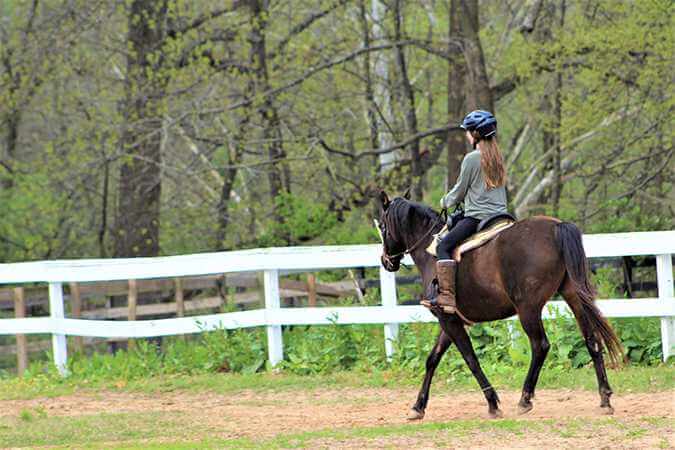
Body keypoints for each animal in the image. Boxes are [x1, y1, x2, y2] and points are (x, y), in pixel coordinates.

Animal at [378, 189, 620, 418]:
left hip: (528, 308)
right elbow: (432, 359)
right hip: (574, 296)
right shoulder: (450, 320)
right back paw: (605, 398)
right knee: (592, 339)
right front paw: (418, 407)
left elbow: (470, 359)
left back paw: (525, 399)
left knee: (540, 345)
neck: (430, 252)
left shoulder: (449, 320)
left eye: (382, 226)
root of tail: (557, 226)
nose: (386, 261)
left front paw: (493, 403)